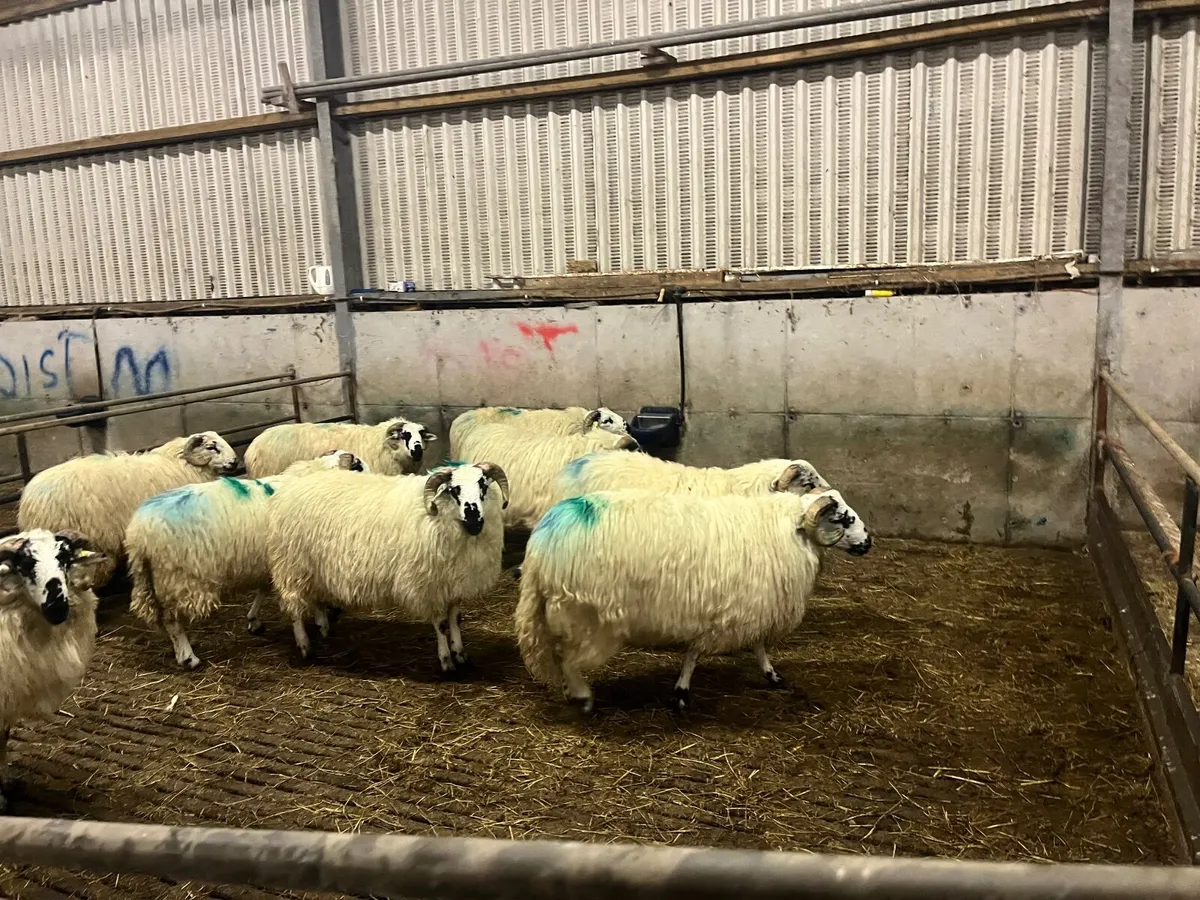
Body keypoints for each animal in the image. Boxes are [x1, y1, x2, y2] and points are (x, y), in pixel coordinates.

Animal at [126, 450, 368, 671]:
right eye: (359, 467)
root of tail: (138, 533)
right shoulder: (294, 560)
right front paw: (316, 630)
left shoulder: (272, 562)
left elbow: (264, 589)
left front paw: (254, 620)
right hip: (178, 578)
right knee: (172, 621)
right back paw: (188, 657)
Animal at [267, 461, 510, 671]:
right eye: (454, 490)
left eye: (482, 484)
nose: (474, 518)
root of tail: (290, 485)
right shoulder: (430, 586)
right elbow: (441, 624)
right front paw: (446, 661)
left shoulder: (453, 583)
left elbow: (455, 620)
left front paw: (460, 654)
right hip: (291, 565)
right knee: (294, 607)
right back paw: (305, 647)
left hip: (312, 566)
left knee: (316, 598)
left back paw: (323, 629)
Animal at [515, 476, 871, 714]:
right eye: (841, 518)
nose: (868, 541)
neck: (785, 529)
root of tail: (542, 542)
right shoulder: (732, 608)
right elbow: (700, 652)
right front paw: (682, 693)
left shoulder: (746, 603)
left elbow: (753, 643)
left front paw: (771, 673)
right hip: (587, 615)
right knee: (566, 657)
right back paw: (581, 695)